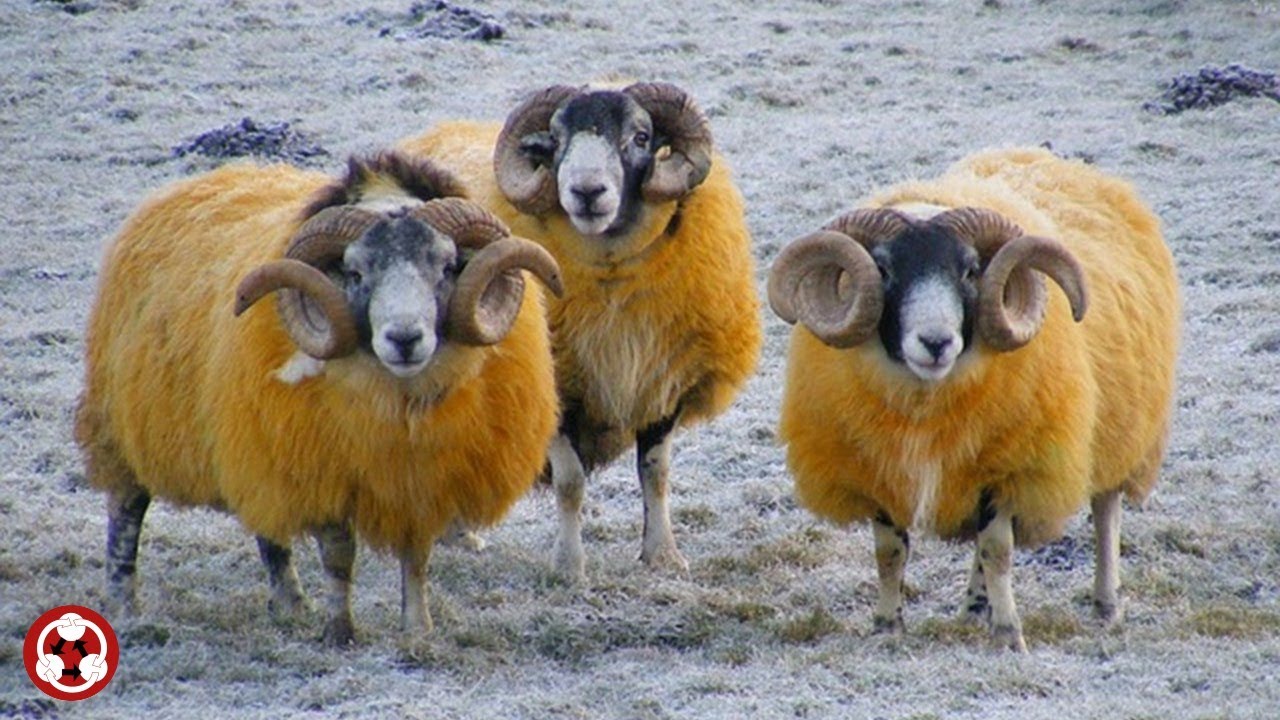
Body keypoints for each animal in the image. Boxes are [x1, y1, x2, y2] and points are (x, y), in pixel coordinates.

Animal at [74, 151, 564, 644]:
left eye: (446, 267)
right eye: (355, 272)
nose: (404, 339)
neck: (398, 398)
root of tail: (181, 189)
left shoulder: (419, 482)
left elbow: (416, 558)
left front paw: (417, 630)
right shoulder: (322, 469)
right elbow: (339, 556)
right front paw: (340, 631)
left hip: (255, 447)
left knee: (268, 528)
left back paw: (290, 605)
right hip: (123, 425)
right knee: (126, 512)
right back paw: (124, 602)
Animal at [400, 82, 761, 579]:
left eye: (641, 136)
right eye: (555, 141)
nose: (586, 191)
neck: (609, 276)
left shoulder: (662, 382)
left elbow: (656, 474)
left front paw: (663, 555)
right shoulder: (556, 383)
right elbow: (570, 483)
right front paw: (569, 567)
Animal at [767, 147, 1179, 651]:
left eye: (970, 270)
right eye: (883, 270)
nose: (936, 342)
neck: (925, 401)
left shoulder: (1007, 465)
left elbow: (997, 550)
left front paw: (1008, 635)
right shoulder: (880, 468)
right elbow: (890, 553)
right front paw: (887, 627)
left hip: (1122, 429)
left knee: (1105, 514)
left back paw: (1105, 605)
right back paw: (972, 609)